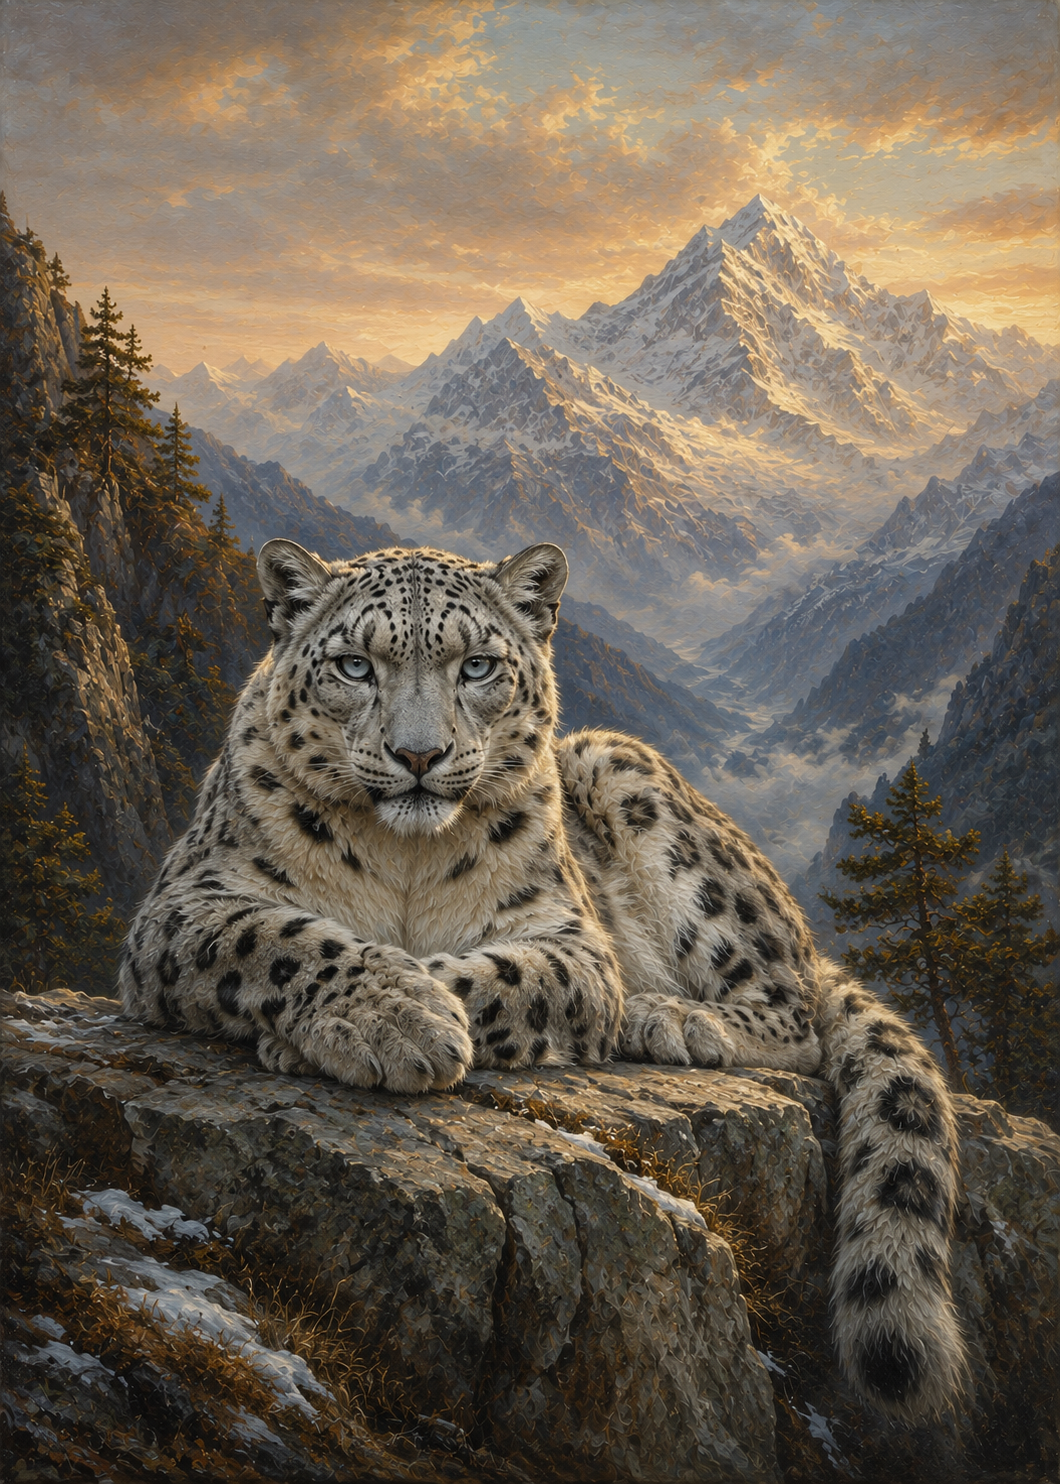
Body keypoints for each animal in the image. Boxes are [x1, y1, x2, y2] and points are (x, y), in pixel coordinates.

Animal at [121, 537, 967, 1423]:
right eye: (354, 665)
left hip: (635, 783)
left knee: (794, 1011)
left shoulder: (572, 941)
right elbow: (279, 938)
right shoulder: (183, 904)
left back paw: (669, 1017)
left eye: (477, 666)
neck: (403, 860)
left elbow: (496, 979)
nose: (418, 756)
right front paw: (387, 1015)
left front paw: (400, 1020)